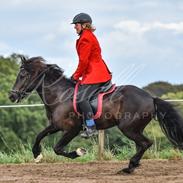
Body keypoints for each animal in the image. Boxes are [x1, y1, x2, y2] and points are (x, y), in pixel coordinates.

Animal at [9, 56, 183, 174]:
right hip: (134, 129)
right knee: (141, 144)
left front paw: (78, 152)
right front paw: (37, 155)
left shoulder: (72, 129)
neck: (60, 95)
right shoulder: (56, 125)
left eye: (23, 75)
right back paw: (132, 165)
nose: (12, 96)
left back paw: (129, 167)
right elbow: (39, 135)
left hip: (128, 128)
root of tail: (150, 98)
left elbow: (57, 148)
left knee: (146, 143)